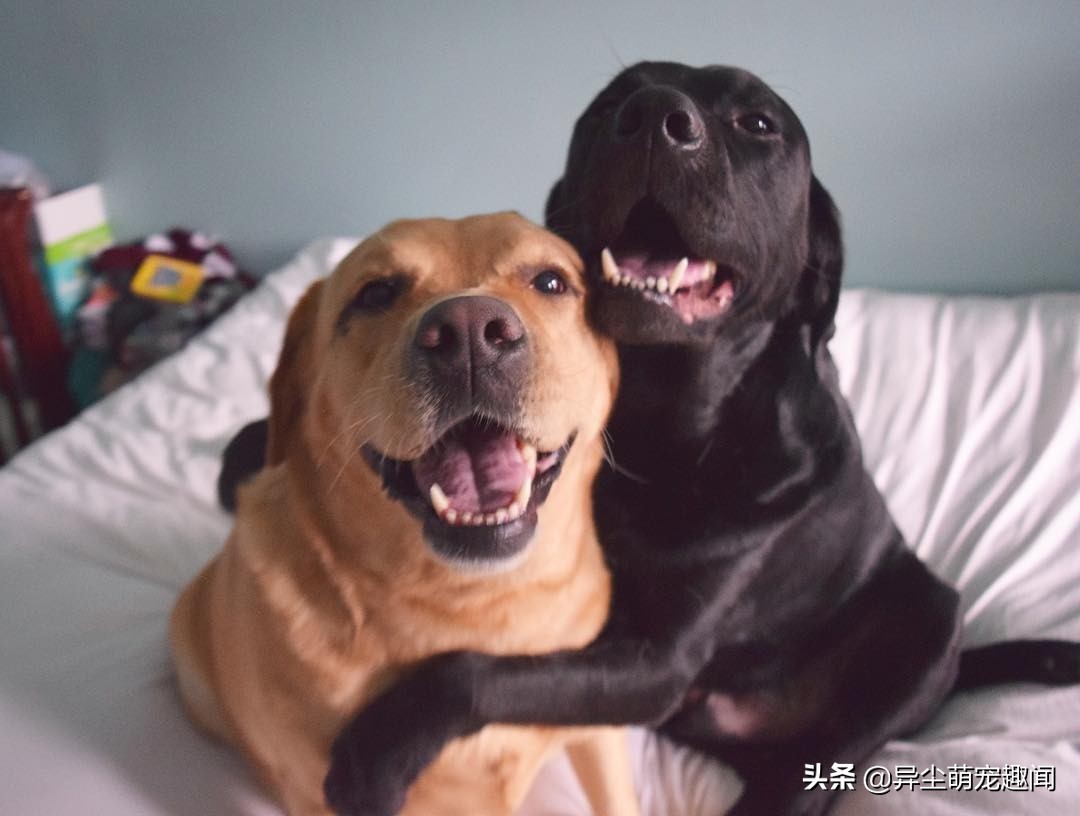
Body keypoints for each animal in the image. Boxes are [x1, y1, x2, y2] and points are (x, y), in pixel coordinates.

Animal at [320, 64, 1080, 816]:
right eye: (608, 103)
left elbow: (480, 671)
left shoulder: (658, 664)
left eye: (758, 123)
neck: (663, 427)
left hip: (928, 622)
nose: (654, 116)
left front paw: (380, 745)